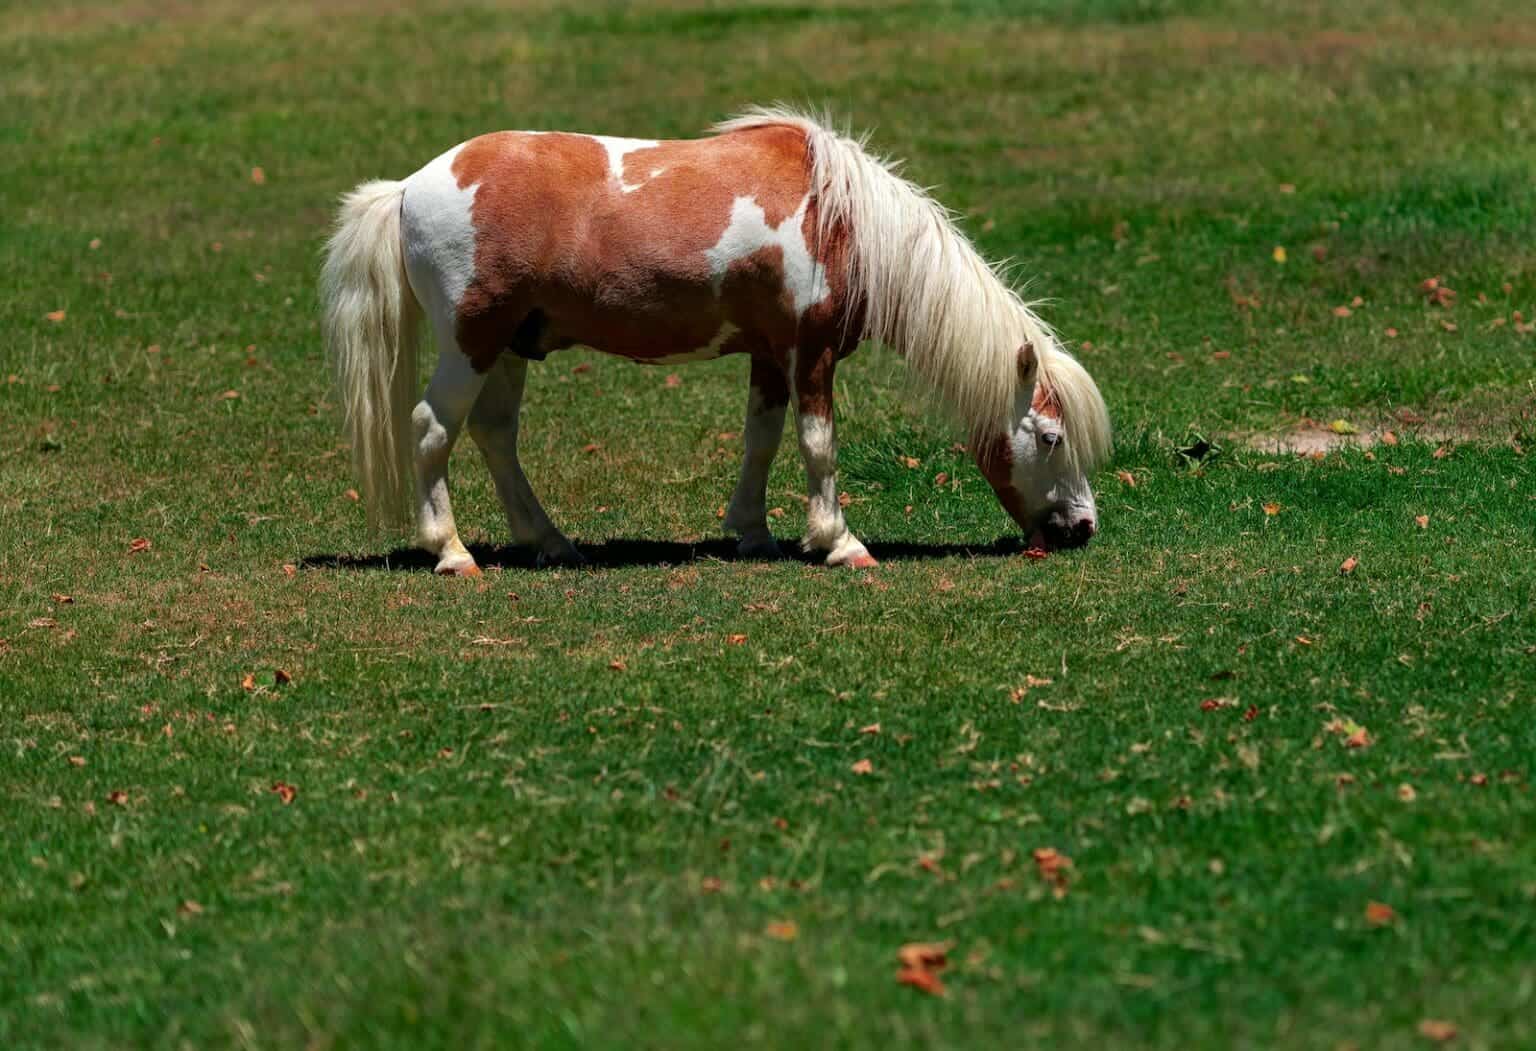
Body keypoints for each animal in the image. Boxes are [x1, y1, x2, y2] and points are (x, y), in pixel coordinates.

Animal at [324, 106, 1112, 574]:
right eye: (1049, 437)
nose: (1082, 527)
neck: (840, 219)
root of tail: (408, 187)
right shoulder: (812, 352)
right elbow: (818, 444)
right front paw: (840, 543)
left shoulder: (770, 354)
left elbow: (761, 439)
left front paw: (754, 532)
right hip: (472, 343)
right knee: (432, 428)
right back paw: (452, 553)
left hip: (512, 346)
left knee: (494, 435)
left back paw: (549, 541)